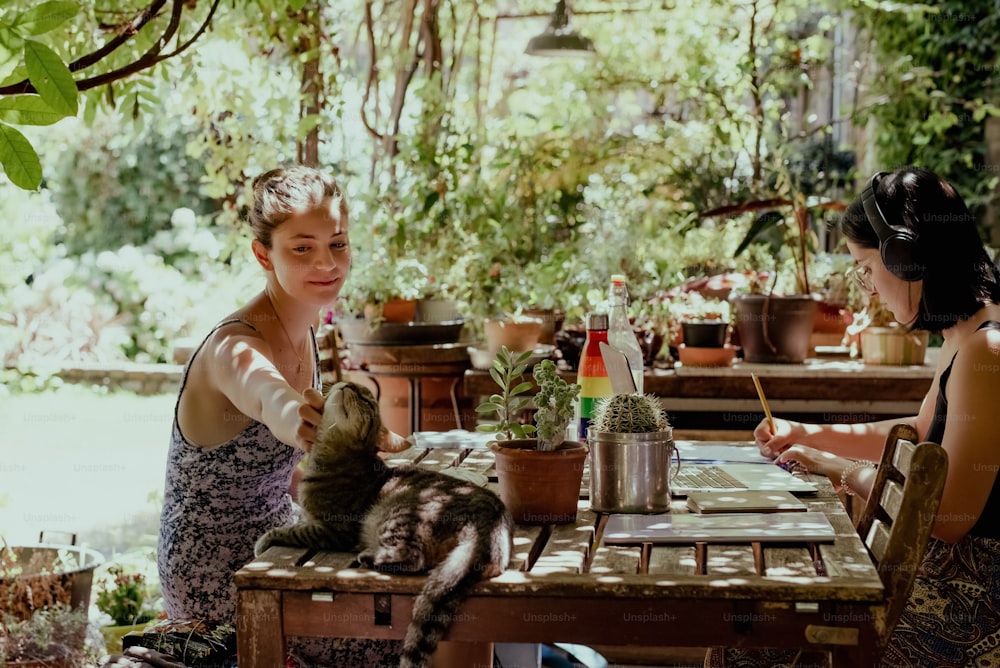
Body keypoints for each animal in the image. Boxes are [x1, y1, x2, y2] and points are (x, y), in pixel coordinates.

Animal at [254, 380, 512, 668]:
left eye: (367, 401)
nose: (350, 384)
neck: (332, 455)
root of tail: (491, 524)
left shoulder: (334, 530)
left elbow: (295, 531)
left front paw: (265, 540)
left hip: (398, 516)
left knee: (412, 557)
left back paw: (369, 557)